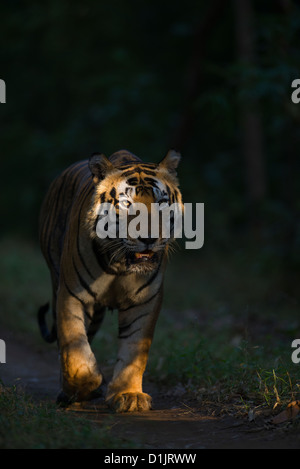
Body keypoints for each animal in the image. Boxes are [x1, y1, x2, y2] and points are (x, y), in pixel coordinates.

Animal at [37, 148, 183, 412]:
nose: (149, 238)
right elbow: (74, 348)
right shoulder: (71, 294)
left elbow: (134, 350)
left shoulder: (145, 302)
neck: (120, 266)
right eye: (126, 204)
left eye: (162, 203)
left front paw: (128, 395)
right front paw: (88, 384)